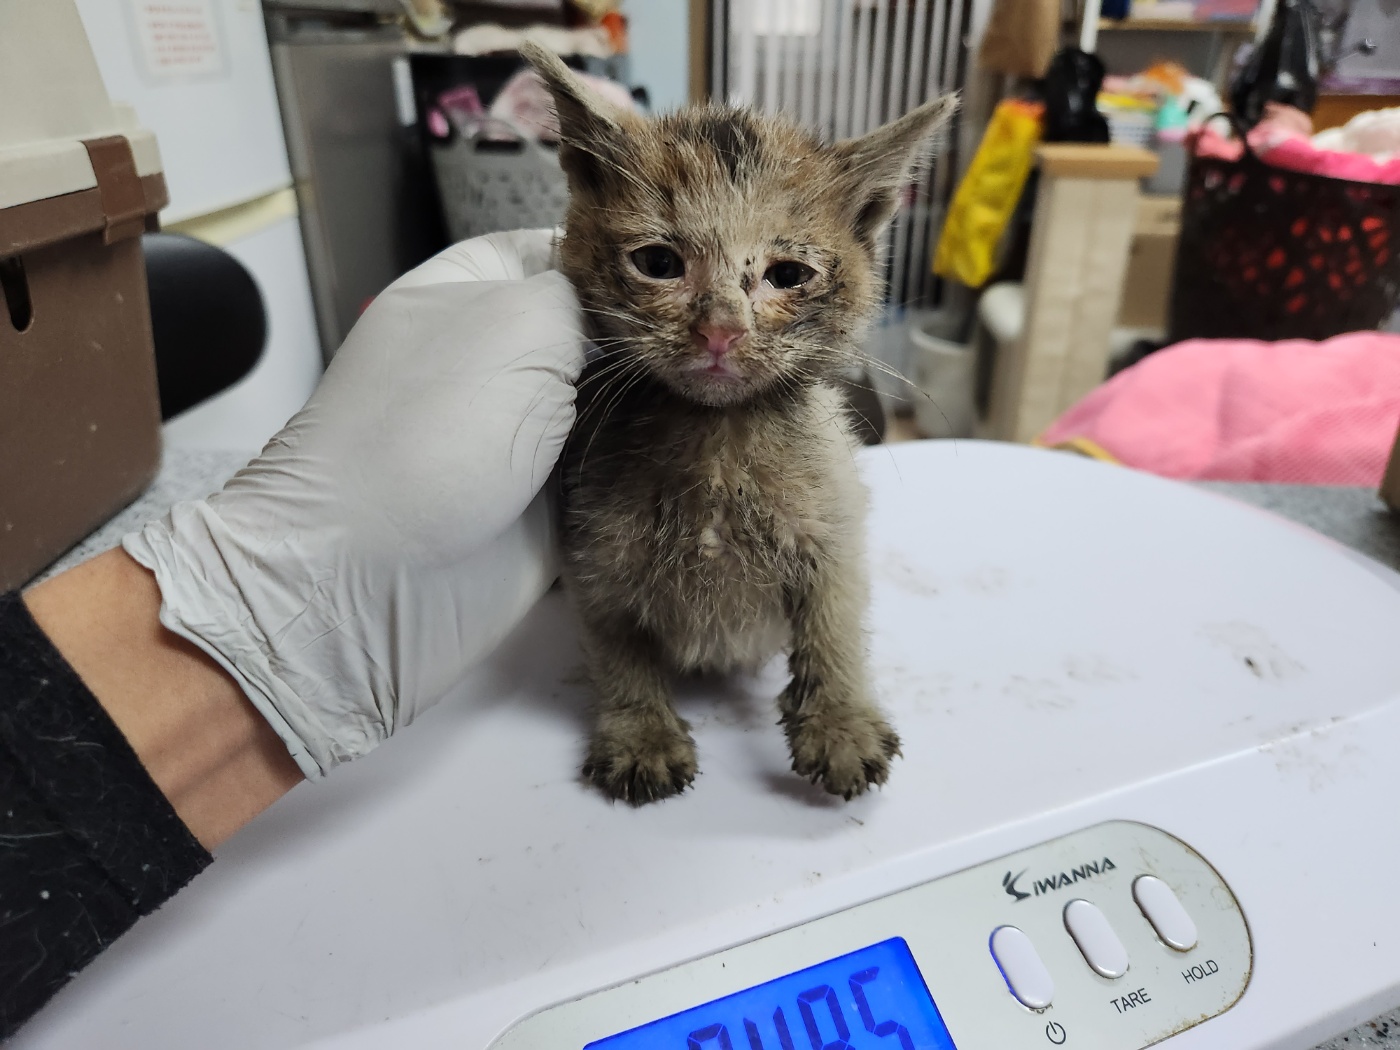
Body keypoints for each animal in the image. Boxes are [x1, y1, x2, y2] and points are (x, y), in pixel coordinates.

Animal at [520, 43, 957, 806]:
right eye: (658, 263)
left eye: (788, 274)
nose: (721, 330)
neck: (716, 438)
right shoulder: (591, 550)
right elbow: (615, 645)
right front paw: (640, 732)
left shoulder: (835, 520)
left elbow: (836, 620)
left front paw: (840, 722)